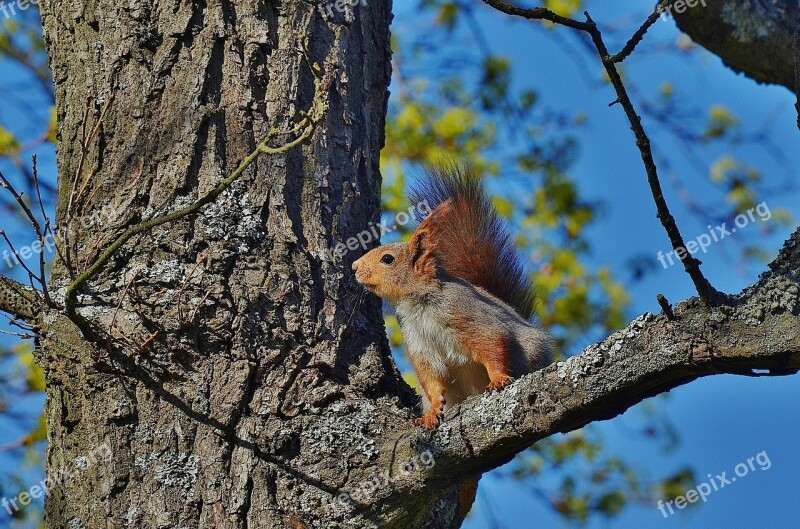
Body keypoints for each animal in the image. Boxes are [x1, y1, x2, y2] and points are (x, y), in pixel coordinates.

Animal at [354, 166, 552, 428]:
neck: (419, 302)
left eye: (387, 259)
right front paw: (431, 412)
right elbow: (430, 378)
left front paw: (498, 378)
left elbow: (492, 341)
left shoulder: (466, 312)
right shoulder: (417, 340)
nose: (354, 267)